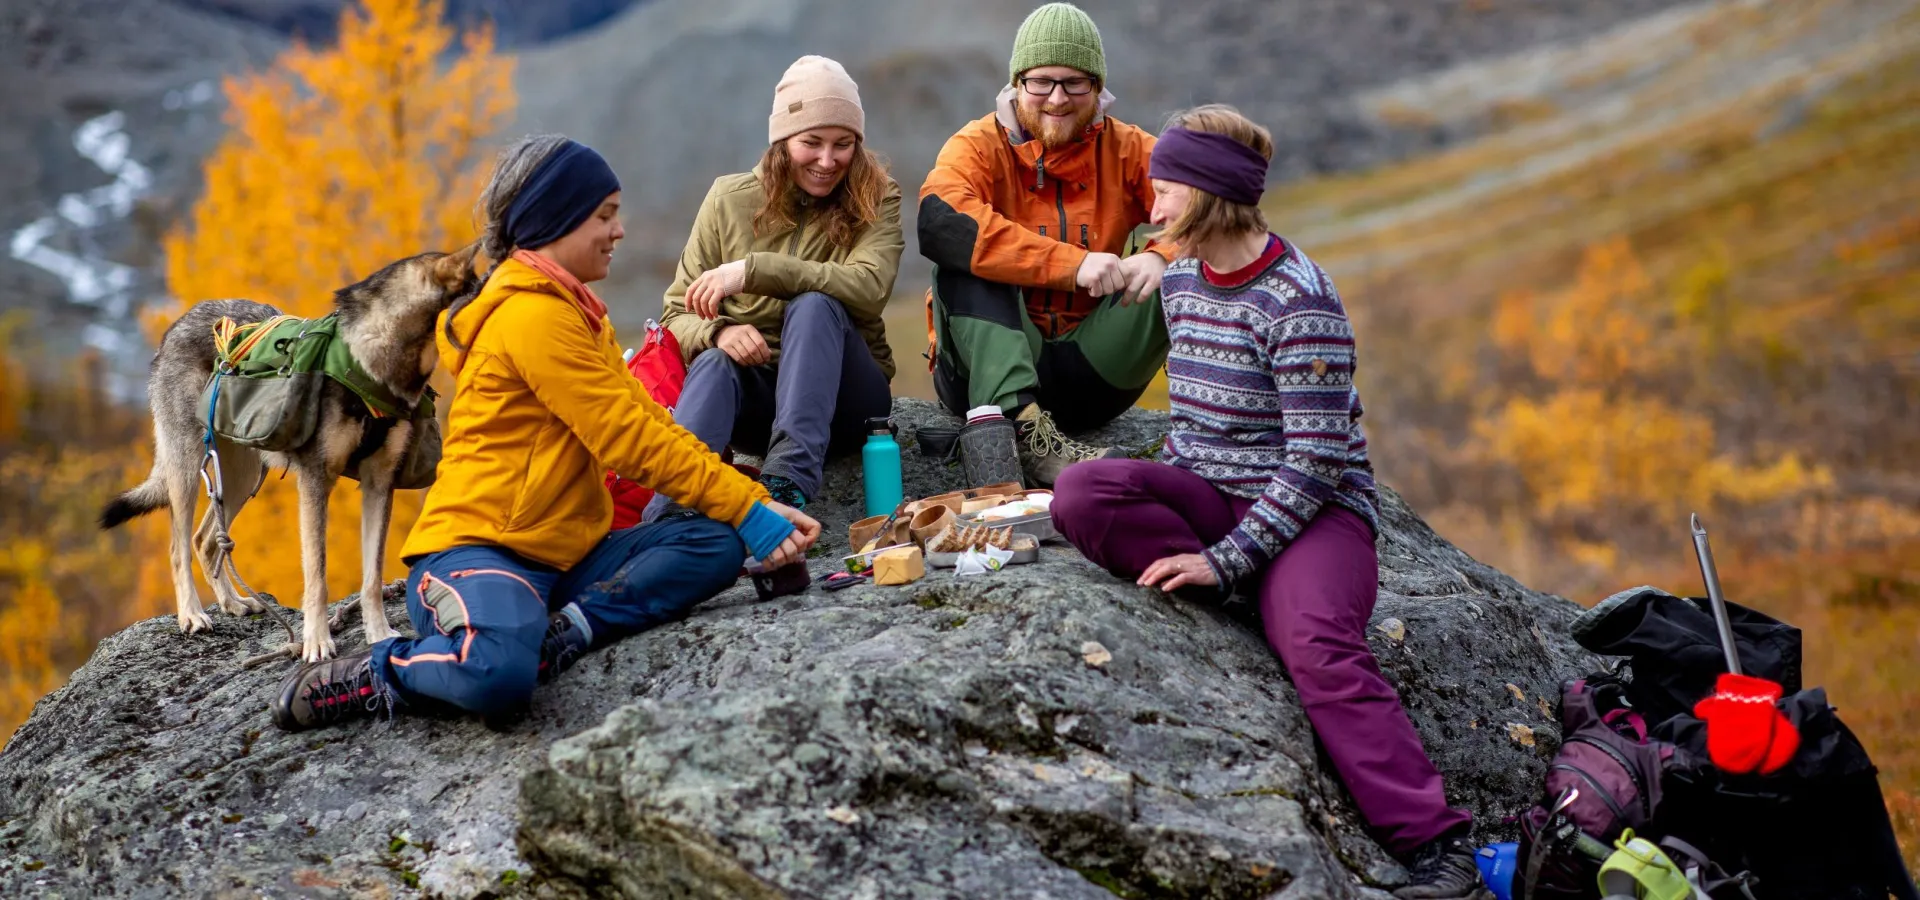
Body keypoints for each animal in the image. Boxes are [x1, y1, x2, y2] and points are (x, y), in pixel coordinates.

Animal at [103, 243, 480, 660]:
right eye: (481, 289)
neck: (369, 363)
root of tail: (176, 325)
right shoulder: (317, 480)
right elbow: (317, 575)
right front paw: (317, 642)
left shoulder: (379, 484)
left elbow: (372, 577)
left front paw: (380, 634)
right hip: (187, 473)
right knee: (179, 547)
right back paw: (193, 615)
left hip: (241, 478)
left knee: (206, 540)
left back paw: (234, 603)